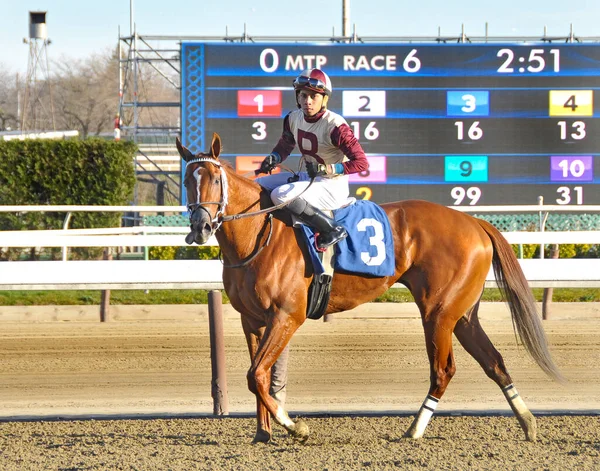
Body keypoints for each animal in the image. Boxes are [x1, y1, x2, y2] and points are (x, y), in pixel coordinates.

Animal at [177, 135, 564, 444]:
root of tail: (474, 221)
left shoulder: (287, 316)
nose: (200, 226)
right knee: (493, 362)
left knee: (443, 371)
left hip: (438, 313)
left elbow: (256, 374)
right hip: (463, 314)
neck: (259, 235)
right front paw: (263, 434)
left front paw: (295, 427)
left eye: (215, 178)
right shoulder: (252, 320)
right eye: (186, 180)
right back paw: (527, 422)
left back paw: (414, 430)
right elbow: (258, 378)